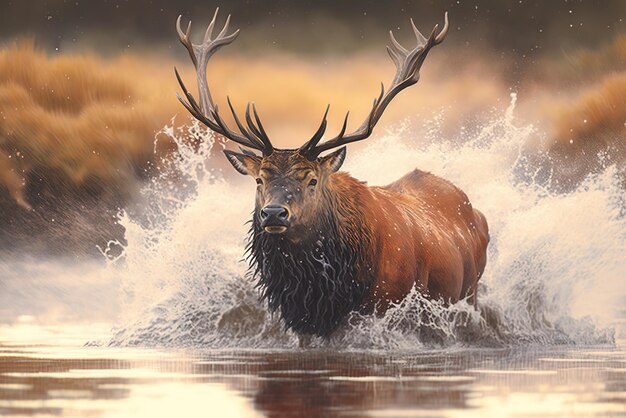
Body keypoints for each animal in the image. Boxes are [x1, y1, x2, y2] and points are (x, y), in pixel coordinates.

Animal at [174, 9, 488, 336]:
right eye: (259, 179)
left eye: (312, 180)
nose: (273, 213)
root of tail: (477, 212)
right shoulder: (301, 320)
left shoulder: (390, 306)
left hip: (469, 293)